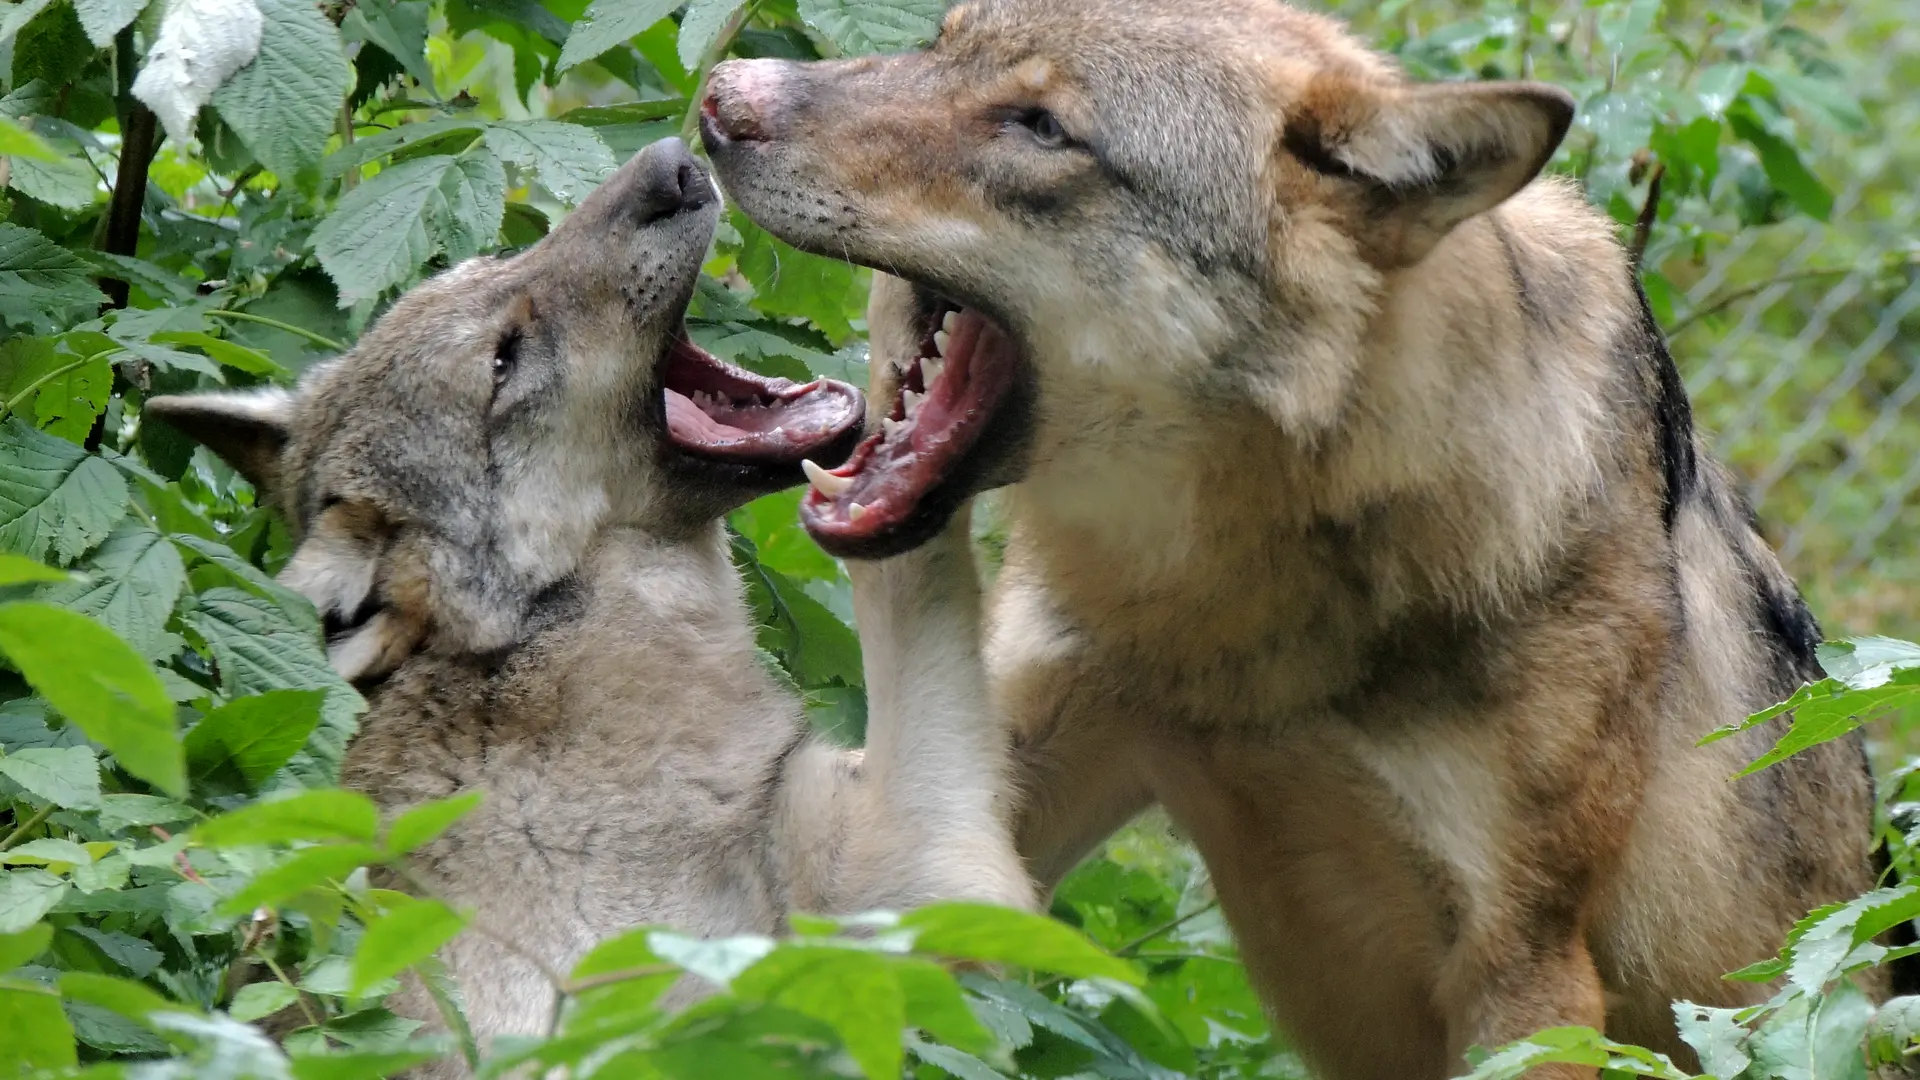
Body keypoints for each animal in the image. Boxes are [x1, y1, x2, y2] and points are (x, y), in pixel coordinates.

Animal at [702, 4, 1889, 1068]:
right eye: (938, 41)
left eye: (1041, 127)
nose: (720, 98)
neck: (1246, 631)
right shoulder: (989, 820)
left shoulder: (1529, 970)